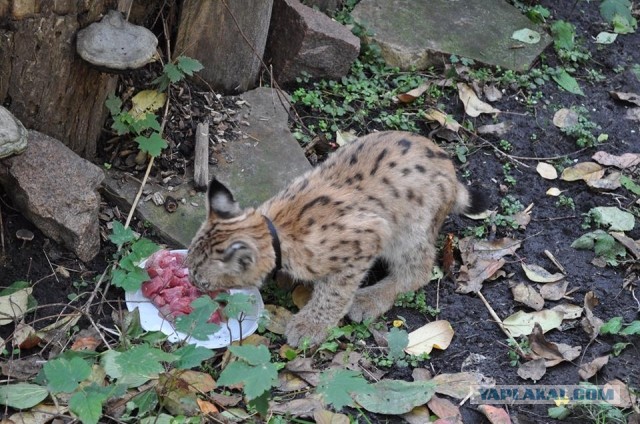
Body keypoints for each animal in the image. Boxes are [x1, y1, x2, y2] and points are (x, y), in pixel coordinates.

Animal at [186, 131, 484, 346]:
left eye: (203, 281)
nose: (192, 285)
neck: (275, 228)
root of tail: (448, 164)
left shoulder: (368, 236)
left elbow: (335, 291)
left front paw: (310, 325)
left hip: (411, 229)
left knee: (419, 270)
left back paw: (370, 299)